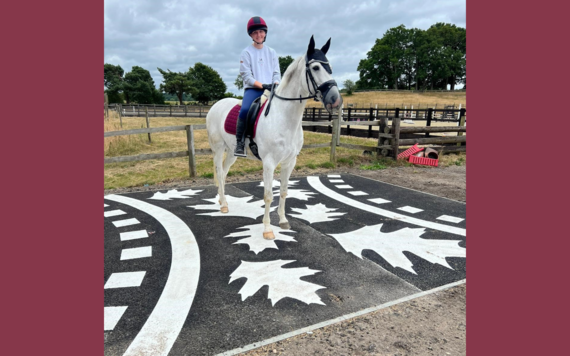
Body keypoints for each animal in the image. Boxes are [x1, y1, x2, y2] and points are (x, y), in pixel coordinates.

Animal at [204, 36, 340, 239]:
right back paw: (224, 205)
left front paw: (283, 221)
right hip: (218, 148)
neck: (284, 117)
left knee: (224, 173)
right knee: (220, 173)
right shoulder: (269, 163)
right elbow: (268, 195)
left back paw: (223, 201)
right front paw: (268, 229)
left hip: (232, 152)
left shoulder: (289, 162)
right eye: (316, 67)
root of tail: (216, 105)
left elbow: (283, 191)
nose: (335, 99)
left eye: (329, 66)